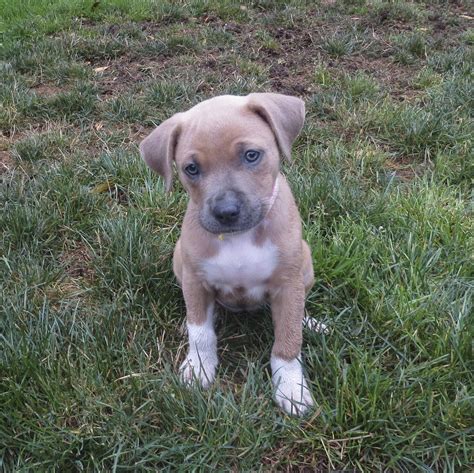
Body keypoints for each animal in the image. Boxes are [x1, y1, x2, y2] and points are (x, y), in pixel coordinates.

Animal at [142, 93, 318, 412]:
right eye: (191, 168)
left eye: (251, 155)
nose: (226, 212)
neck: (239, 237)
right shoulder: (195, 281)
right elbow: (200, 332)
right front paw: (198, 368)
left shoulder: (288, 284)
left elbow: (288, 340)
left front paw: (291, 388)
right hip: (179, 260)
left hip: (306, 261)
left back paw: (309, 323)